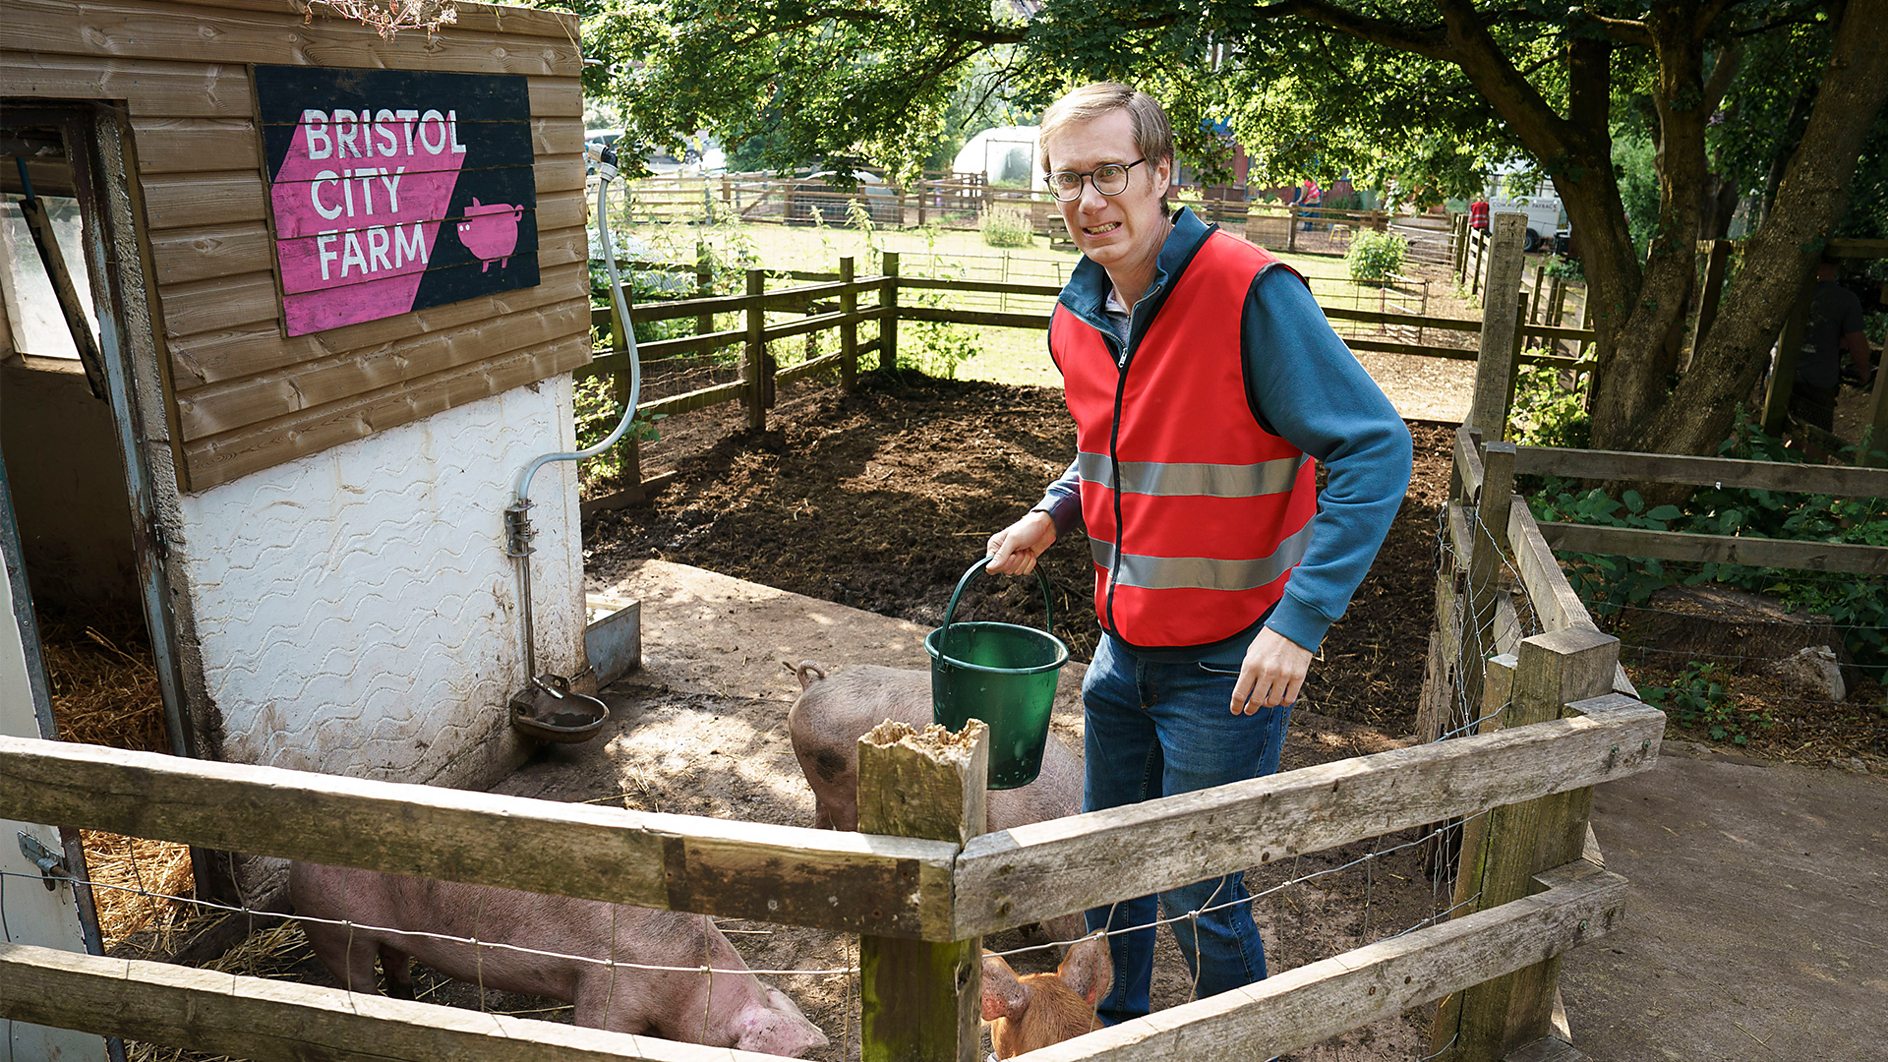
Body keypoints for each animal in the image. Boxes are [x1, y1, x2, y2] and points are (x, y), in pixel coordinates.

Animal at [288, 861, 826, 1050]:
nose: (820, 1042)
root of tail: (294, 865)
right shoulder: (608, 988)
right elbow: (594, 1029)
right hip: (334, 929)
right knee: (357, 979)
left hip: (389, 936)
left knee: (396, 966)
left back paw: (413, 1002)